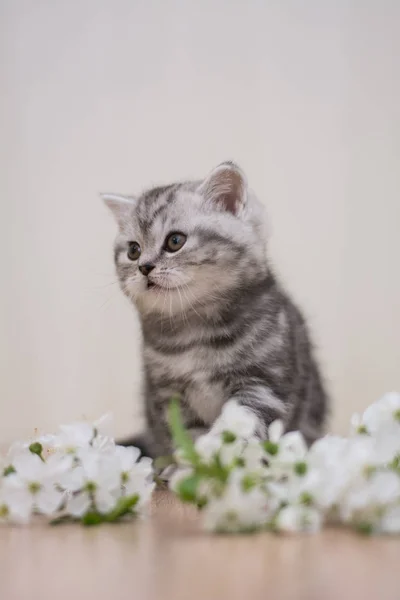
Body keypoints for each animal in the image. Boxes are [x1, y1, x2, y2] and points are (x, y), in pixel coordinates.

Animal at [102, 162, 328, 458]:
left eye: (175, 241)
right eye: (133, 251)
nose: (144, 267)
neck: (194, 332)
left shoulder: (263, 383)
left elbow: (242, 427)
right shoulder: (169, 397)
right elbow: (187, 435)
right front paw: (191, 462)